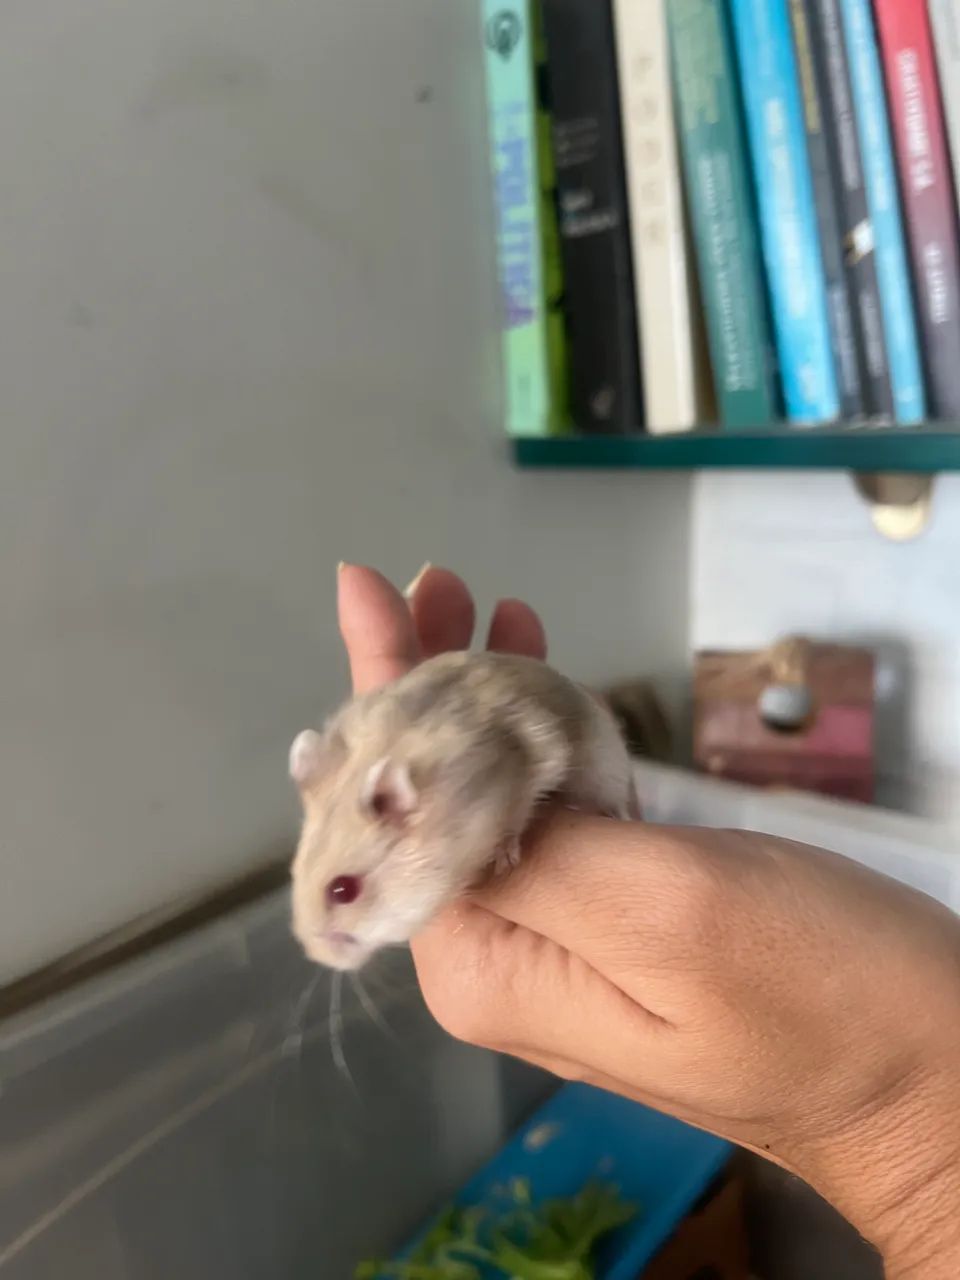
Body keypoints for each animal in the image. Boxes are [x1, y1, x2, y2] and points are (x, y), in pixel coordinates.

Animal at [288, 650, 641, 971]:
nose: (320, 958)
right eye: (295, 870)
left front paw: (504, 860)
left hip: (607, 766)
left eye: (343, 890)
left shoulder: (532, 764)